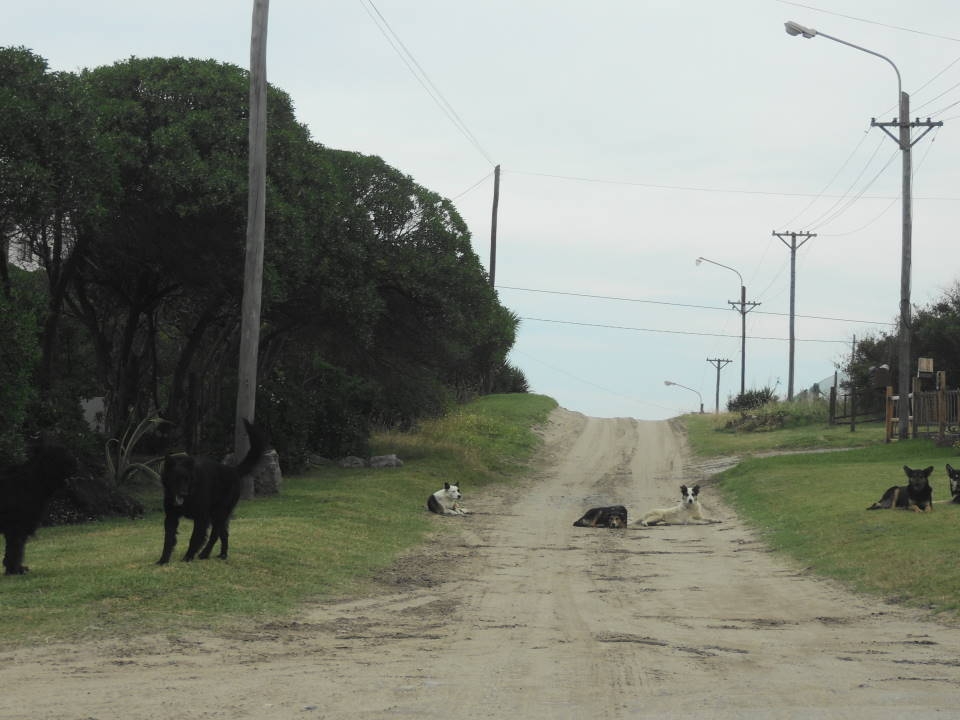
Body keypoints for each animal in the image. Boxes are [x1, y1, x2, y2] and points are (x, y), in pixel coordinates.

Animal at [0, 444, 77, 572]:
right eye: (58, 458)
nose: (75, 462)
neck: (32, 482)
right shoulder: (17, 527)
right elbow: (15, 549)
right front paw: (15, 570)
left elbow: (16, 548)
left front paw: (16, 568)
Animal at [158, 420, 266, 564]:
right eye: (176, 479)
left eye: (187, 479)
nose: (184, 494)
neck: (191, 493)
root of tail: (233, 471)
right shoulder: (171, 517)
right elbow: (168, 540)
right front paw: (163, 560)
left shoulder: (201, 518)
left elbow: (194, 538)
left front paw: (188, 557)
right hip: (220, 516)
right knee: (224, 534)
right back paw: (223, 554)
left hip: (219, 513)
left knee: (215, 535)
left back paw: (204, 554)